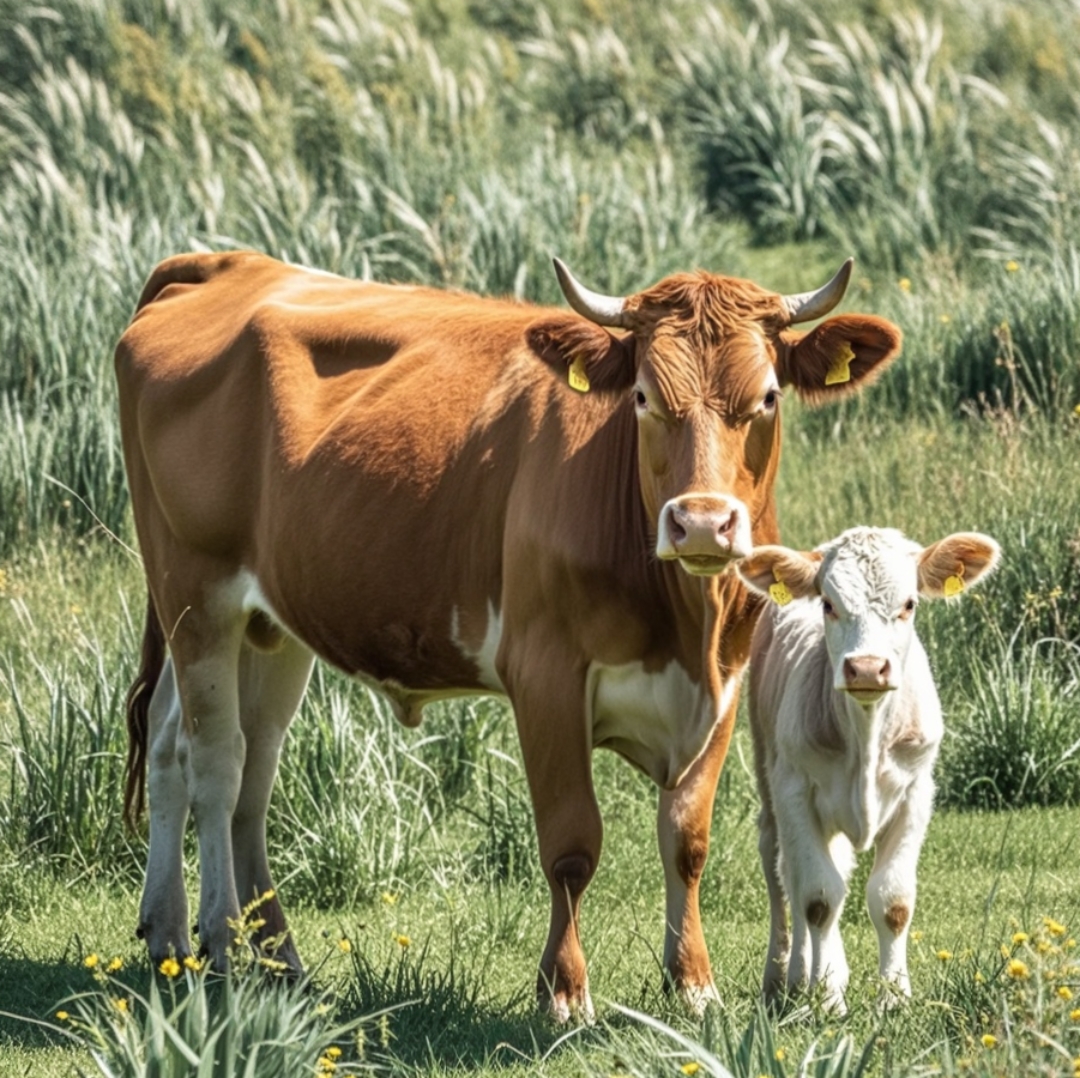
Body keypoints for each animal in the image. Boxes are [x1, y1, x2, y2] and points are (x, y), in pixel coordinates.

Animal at [118, 252, 898, 1019]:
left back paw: (226, 946)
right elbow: (572, 843)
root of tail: (224, 263)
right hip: (196, 591)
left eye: (766, 398)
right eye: (643, 397)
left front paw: (692, 983)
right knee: (215, 761)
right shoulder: (545, 674)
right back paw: (220, 943)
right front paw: (564, 992)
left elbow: (687, 839)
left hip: (266, 623)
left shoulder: (725, 681)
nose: (702, 524)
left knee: (221, 757)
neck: (683, 622)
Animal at [738, 531, 997, 1011]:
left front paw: (893, 997)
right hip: (770, 779)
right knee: (783, 873)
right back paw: (788, 976)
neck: (867, 732)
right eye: (828, 603)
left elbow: (892, 901)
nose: (866, 668)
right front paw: (825, 999)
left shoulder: (916, 792)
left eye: (909, 603)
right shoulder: (795, 789)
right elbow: (817, 898)